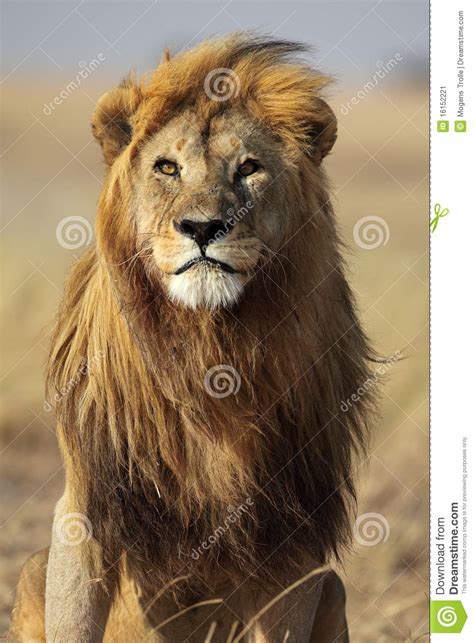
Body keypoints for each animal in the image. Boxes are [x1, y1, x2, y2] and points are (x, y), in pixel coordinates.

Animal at [9, 36, 376, 643]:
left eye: (249, 168)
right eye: (167, 167)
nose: (203, 228)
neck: (209, 343)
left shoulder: (295, 534)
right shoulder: (88, 506)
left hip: (334, 588)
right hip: (33, 566)